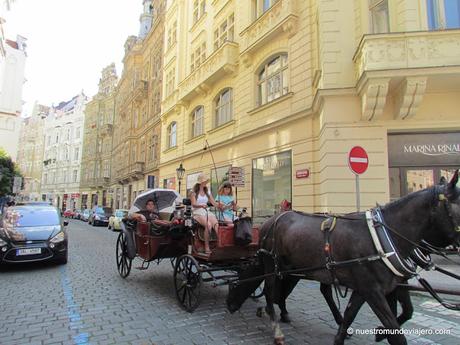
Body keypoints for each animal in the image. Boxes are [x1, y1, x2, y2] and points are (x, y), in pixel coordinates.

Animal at [226, 171, 460, 342]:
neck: (384, 237)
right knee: (270, 291)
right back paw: (276, 327)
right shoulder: (373, 290)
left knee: (281, 292)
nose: (230, 305)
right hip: (273, 264)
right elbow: (395, 328)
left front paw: (364, 332)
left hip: (291, 267)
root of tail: (270, 221)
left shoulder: (373, 287)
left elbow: (357, 315)